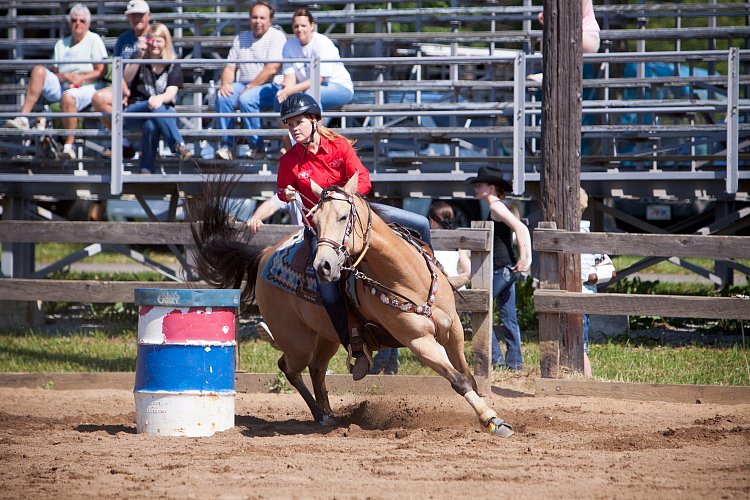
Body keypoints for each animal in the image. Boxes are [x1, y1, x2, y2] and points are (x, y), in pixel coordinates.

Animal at [191, 173, 516, 438]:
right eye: (313, 219)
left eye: (344, 215)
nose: (322, 266)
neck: (408, 278)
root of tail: (265, 254)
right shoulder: (418, 341)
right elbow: (458, 380)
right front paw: (493, 421)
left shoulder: (453, 331)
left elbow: (468, 376)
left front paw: (487, 413)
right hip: (297, 340)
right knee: (290, 367)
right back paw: (322, 416)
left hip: (327, 337)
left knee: (316, 369)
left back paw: (330, 415)